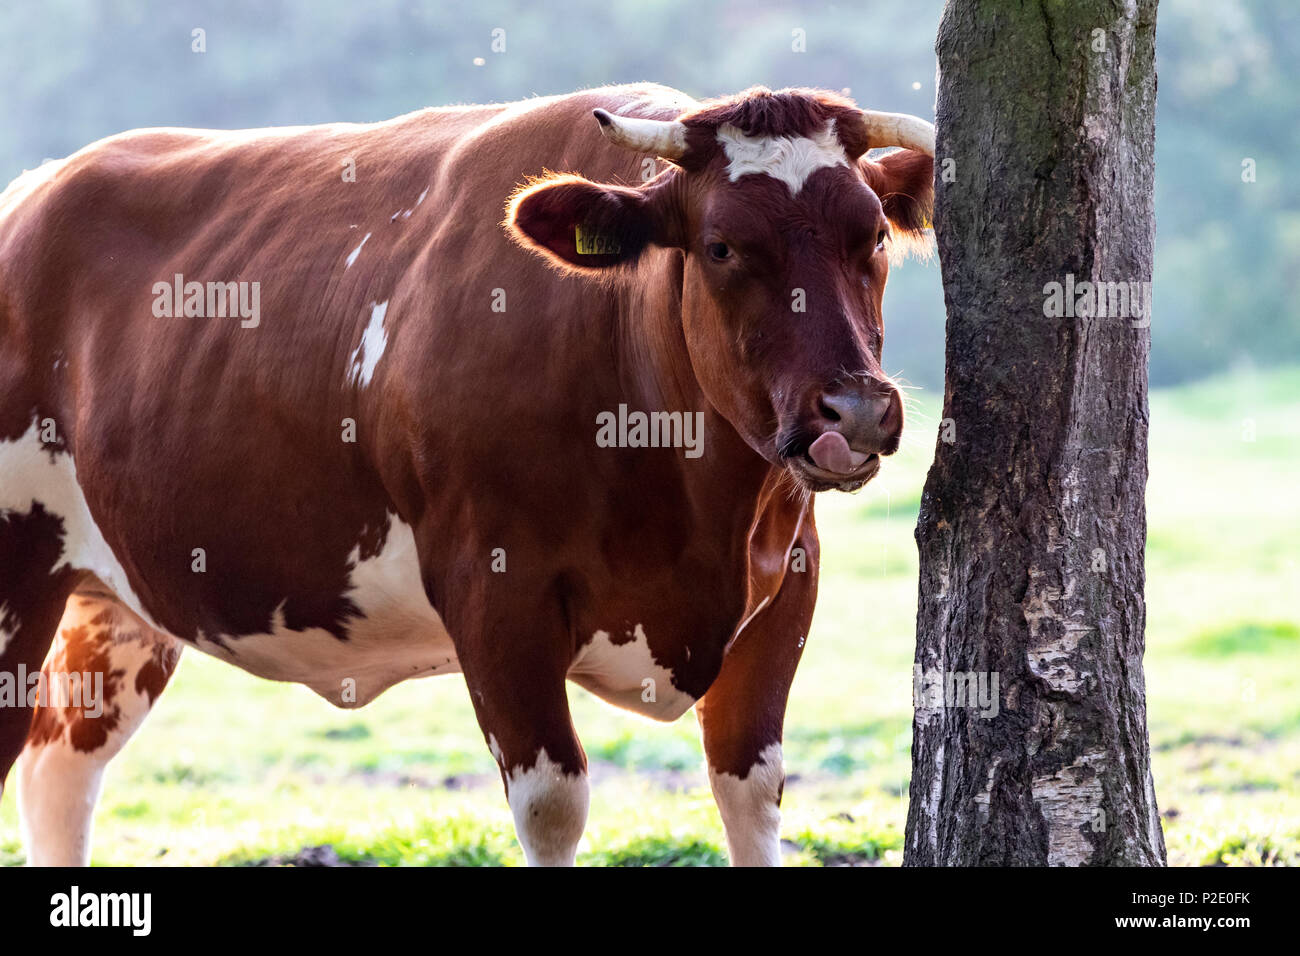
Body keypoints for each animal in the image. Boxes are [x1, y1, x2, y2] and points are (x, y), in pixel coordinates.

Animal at [2, 85, 935, 868]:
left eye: (873, 236)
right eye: (722, 246)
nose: (853, 410)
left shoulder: (786, 590)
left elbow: (752, 793)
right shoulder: (495, 597)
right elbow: (554, 807)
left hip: (115, 603)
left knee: (59, 771)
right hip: (21, 575)